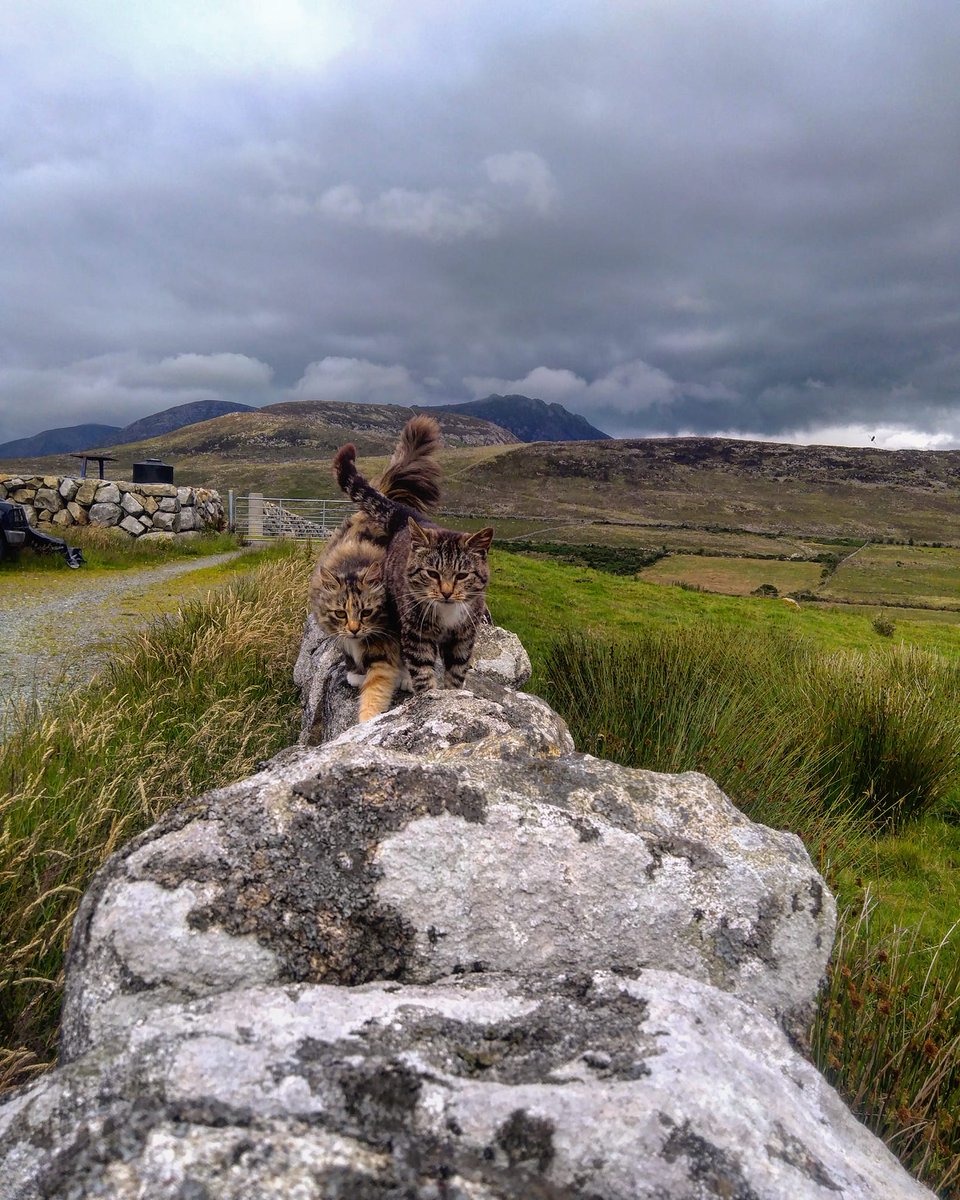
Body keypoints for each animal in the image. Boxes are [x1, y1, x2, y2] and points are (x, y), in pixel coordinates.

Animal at [309, 417, 441, 715]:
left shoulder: (389, 641)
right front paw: (355, 672)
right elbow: (349, 654)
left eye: (367, 612)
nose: (355, 629)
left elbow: (377, 688)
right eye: (340, 613)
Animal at [333, 441, 492, 696]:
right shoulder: (417, 632)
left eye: (462, 575)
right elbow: (421, 666)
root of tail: (407, 516)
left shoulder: (464, 634)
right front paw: (428, 693)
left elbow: (457, 669)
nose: (446, 592)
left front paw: (453, 692)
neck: (446, 612)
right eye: (432, 573)